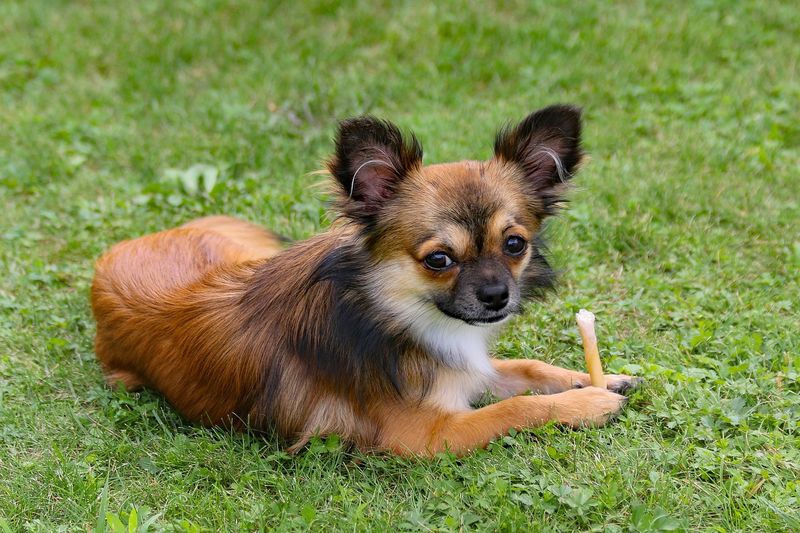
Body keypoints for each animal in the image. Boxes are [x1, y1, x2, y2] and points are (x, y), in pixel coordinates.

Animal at [90, 105, 640, 458]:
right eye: (438, 259)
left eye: (514, 244)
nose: (496, 296)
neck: (396, 313)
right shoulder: (426, 433)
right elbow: (515, 410)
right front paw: (587, 400)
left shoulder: (463, 369)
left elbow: (526, 370)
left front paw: (595, 377)